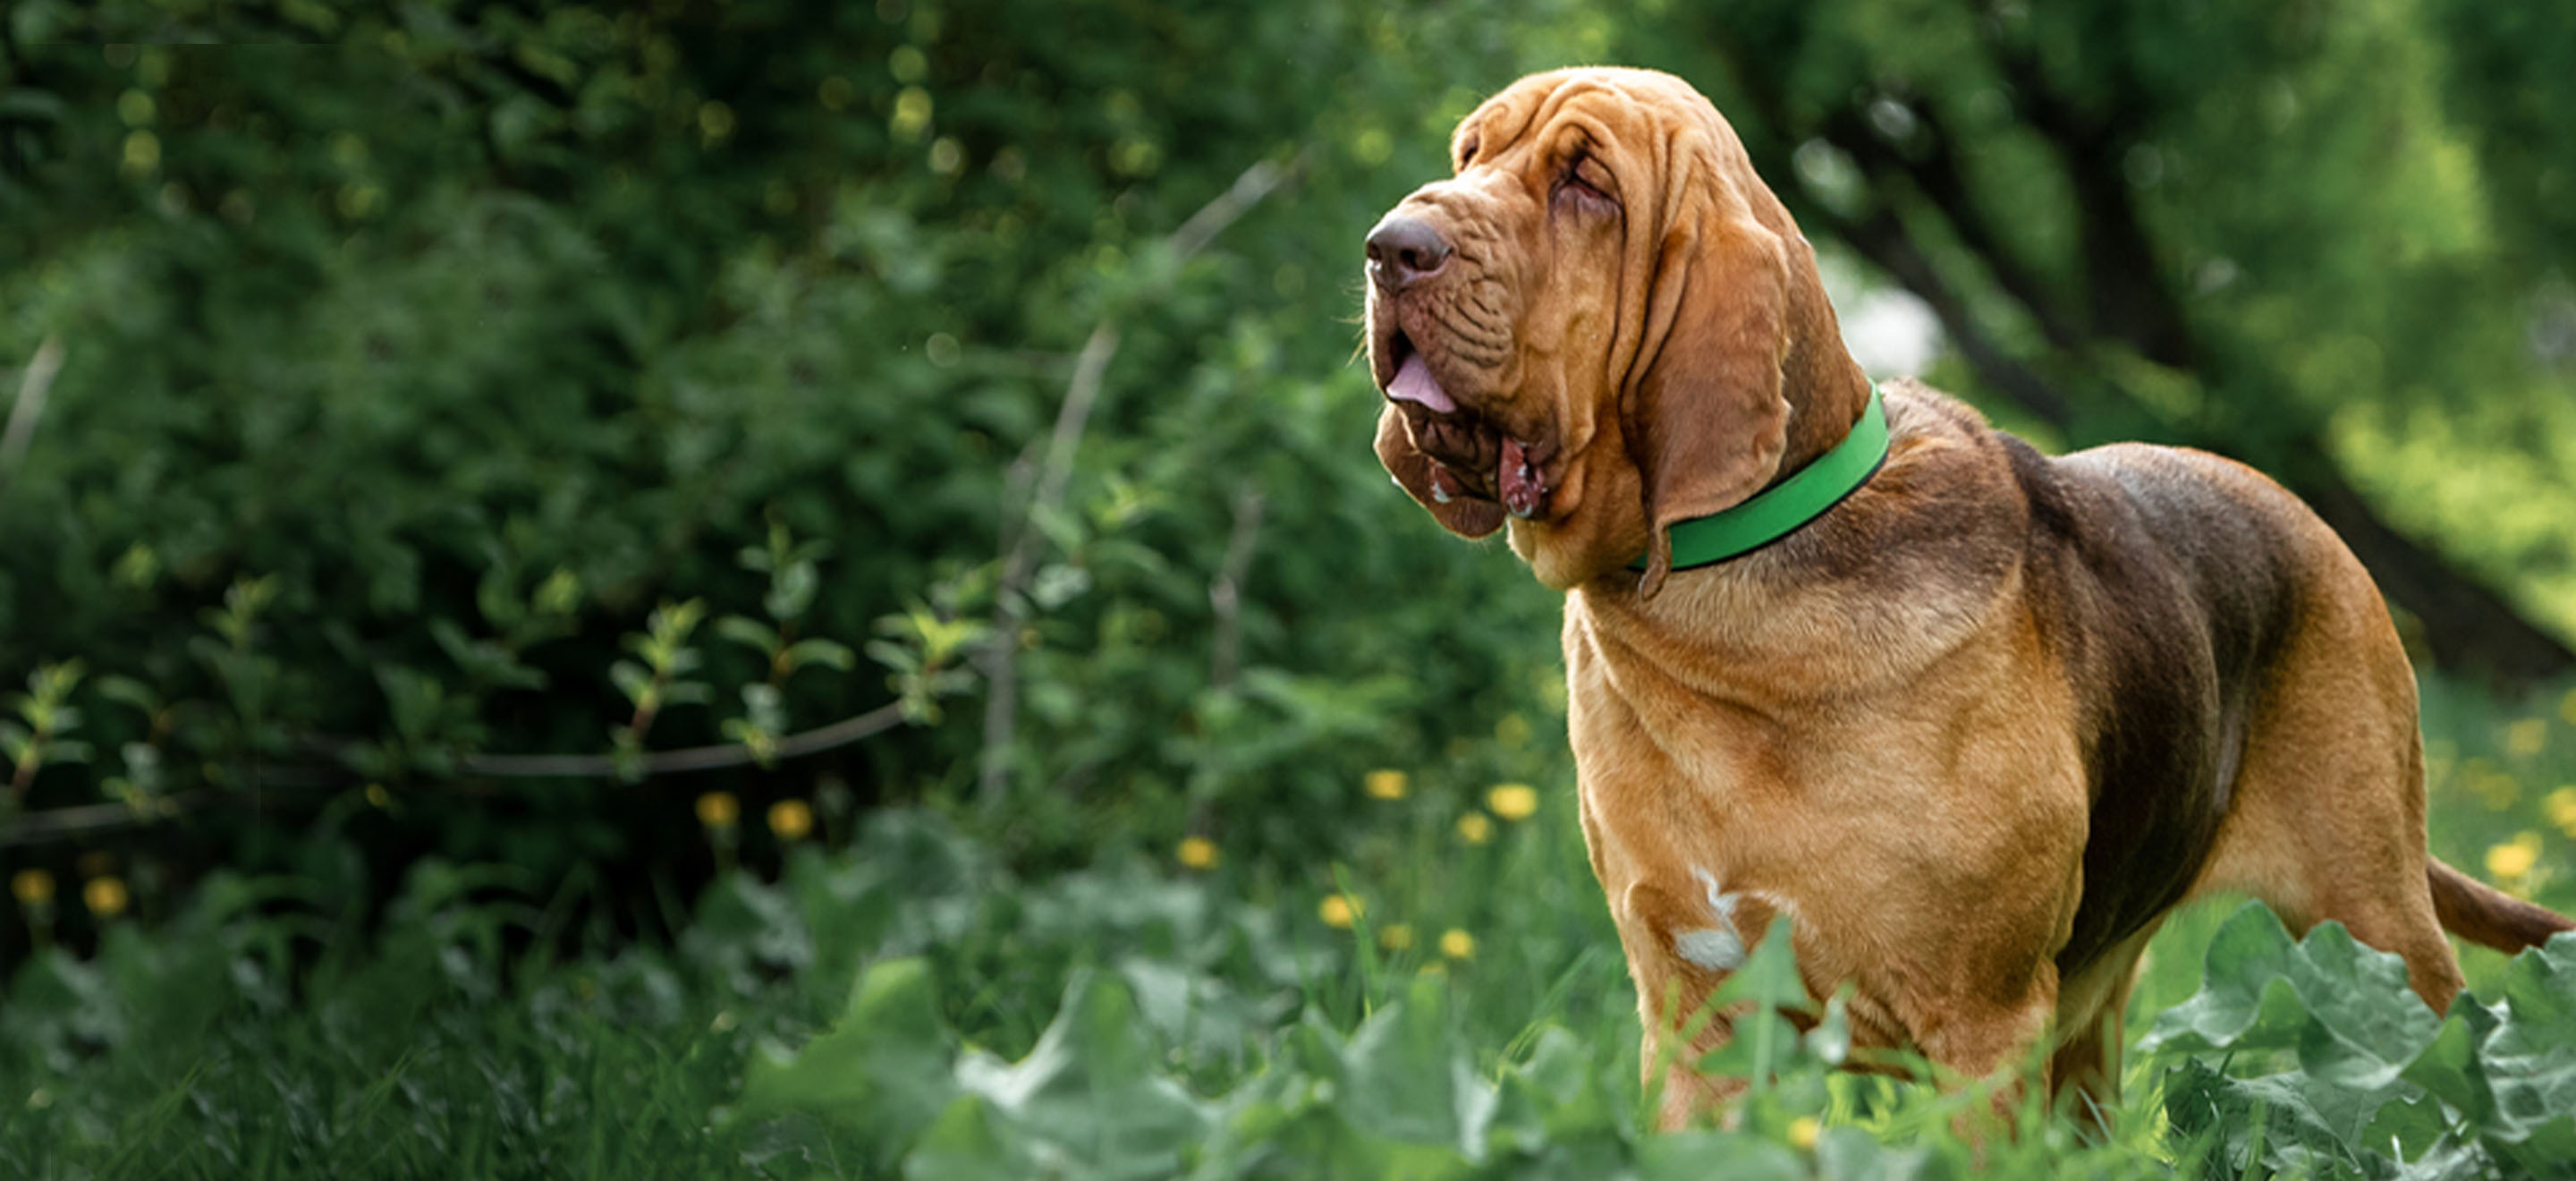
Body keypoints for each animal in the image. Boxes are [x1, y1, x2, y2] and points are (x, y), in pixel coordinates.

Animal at [1360, 69, 2565, 1129]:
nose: (1389, 246)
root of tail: (2299, 512)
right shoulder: (1700, 1035)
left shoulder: (1980, 1031)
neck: (1725, 613)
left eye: (1586, 184)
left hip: (2380, 932)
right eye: (1470, 155)